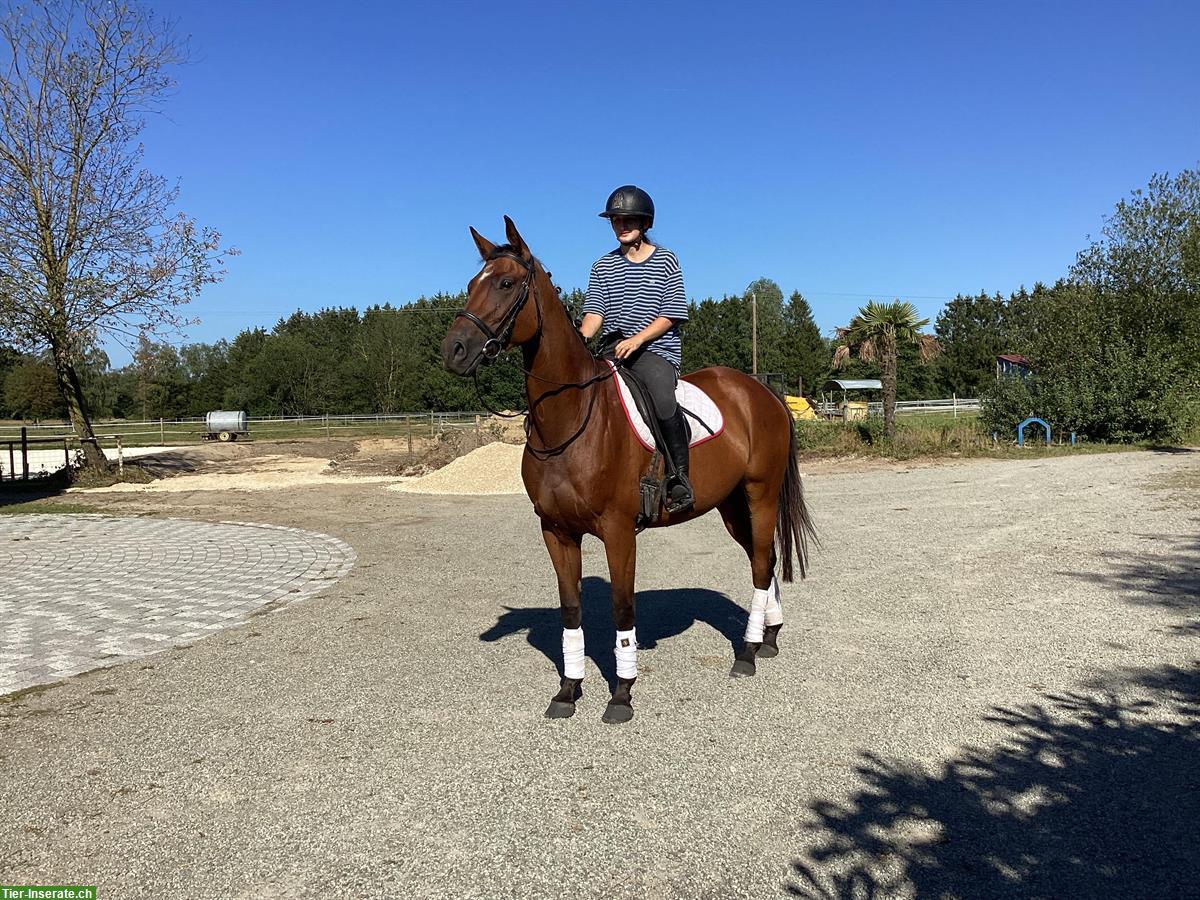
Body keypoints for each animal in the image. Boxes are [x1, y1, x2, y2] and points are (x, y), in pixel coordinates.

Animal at [441, 218, 816, 724]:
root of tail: (761, 392)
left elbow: (622, 610)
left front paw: (621, 694)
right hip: (732, 504)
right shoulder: (556, 531)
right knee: (767, 560)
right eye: (470, 284)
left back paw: (749, 651)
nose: (454, 350)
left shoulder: (618, 531)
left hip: (760, 493)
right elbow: (571, 611)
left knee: (760, 562)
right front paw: (568, 691)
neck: (572, 417)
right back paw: (769, 639)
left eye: (505, 283)